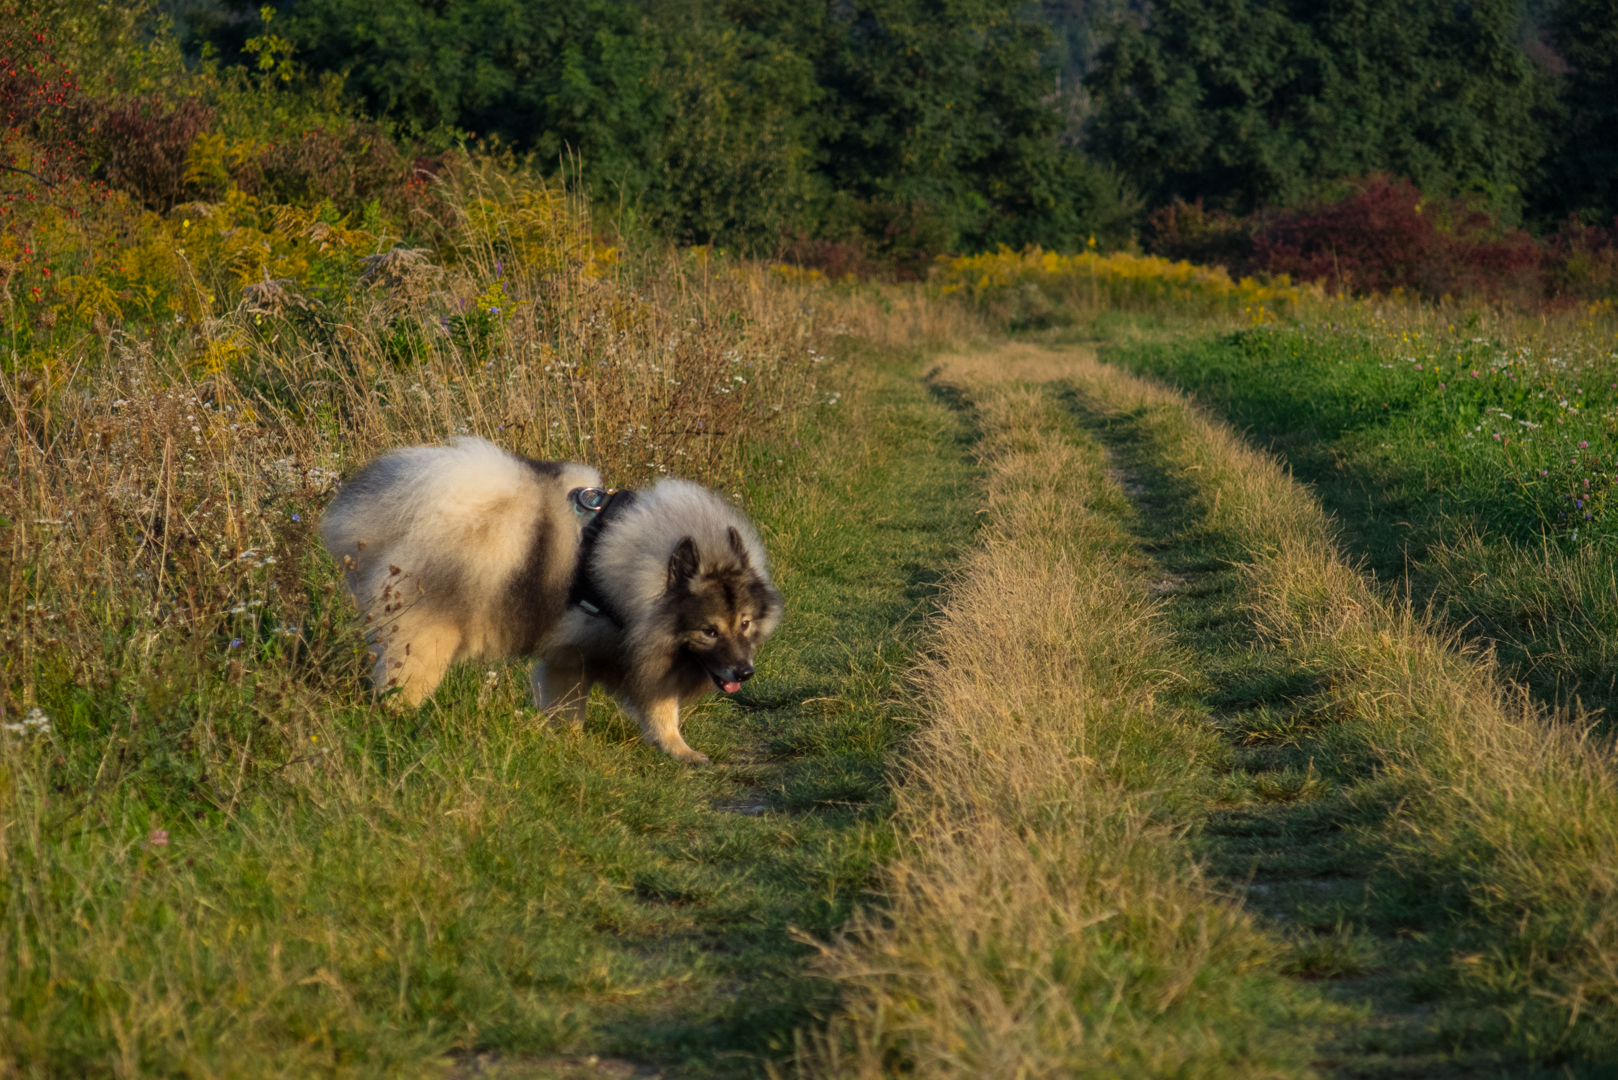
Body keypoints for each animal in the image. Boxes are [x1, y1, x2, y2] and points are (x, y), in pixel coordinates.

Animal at [317, 433, 783, 764]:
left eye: (744, 623)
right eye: (709, 631)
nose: (745, 672)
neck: (631, 571)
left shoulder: (591, 653)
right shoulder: (587, 652)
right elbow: (644, 705)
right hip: (425, 643)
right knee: (399, 690)